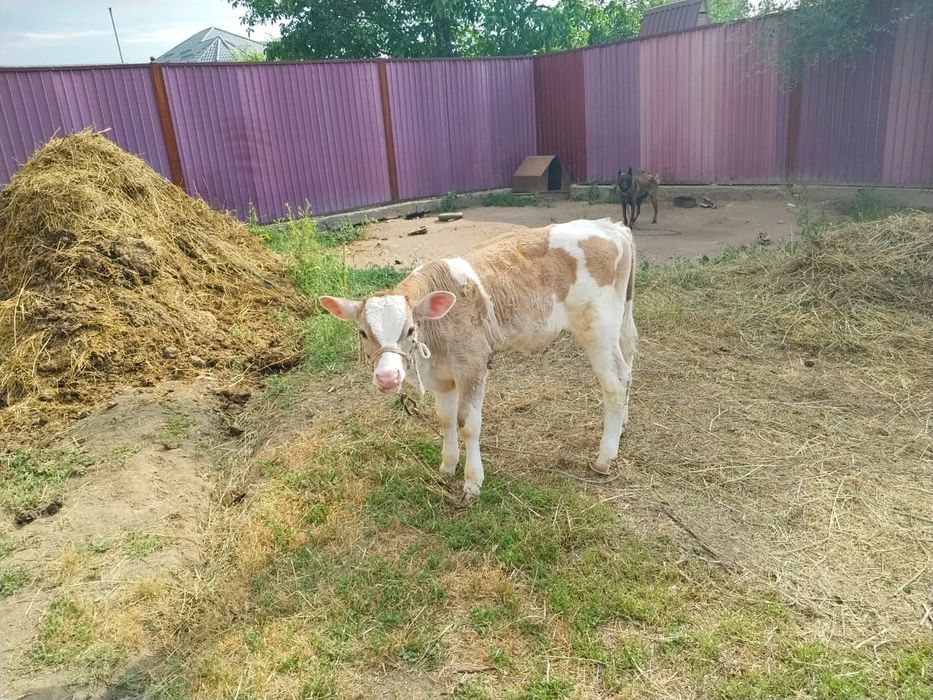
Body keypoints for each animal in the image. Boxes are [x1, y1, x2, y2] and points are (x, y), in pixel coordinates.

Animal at [319, 218, 637, 504]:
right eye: (362, 333)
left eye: (410, 330)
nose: (388, 377)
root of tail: (611, 227)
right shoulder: (443, 377)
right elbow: (445, 419)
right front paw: (447, 467)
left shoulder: (472, 364)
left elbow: (467, 424)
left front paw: (472, 483)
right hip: (620, 321)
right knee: (628, 361)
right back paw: (622, 425)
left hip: (597, 329)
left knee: (615, 384)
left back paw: (604, 457)